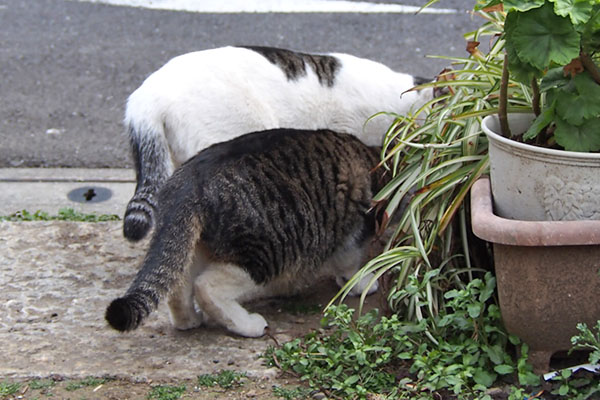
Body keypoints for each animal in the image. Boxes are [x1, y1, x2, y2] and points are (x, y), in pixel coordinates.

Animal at [106, 128, 386, 338]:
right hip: (267, 251)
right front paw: (360, 283)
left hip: (195, 244)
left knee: (178, 281)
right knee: (206, 287)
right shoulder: (356, 229)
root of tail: (188, 182)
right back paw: (247, 325)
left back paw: (188, 320)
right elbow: (350, 264)